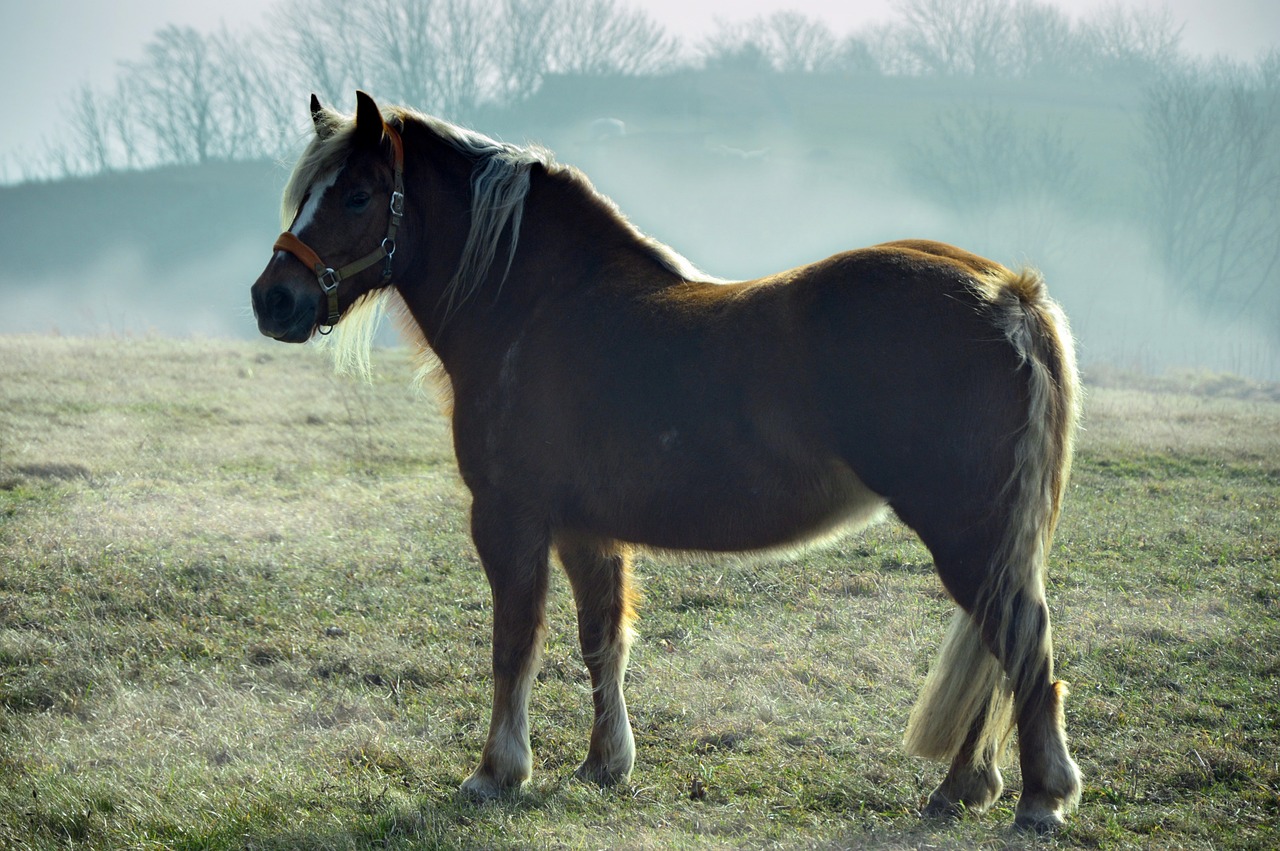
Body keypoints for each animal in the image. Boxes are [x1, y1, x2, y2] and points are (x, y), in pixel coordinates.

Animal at [247, 91, 1080, 829]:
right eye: (304, 195)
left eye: (357, 195)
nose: (272, 300)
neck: (537, 305)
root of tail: (1008, 293)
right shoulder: (585, 529)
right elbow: (602, 639)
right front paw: (604, 763)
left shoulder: (510, 516)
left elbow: (514, 642)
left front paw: (496, 772)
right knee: (1002, 650)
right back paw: (963, 787)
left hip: (965, 528)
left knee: (1024, 645)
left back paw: (1040, 798)